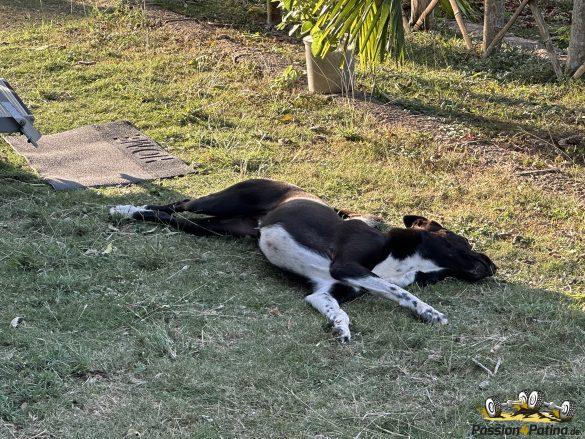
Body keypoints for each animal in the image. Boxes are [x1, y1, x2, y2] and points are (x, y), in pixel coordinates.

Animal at [110, 179, 496, 342]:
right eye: (462, 243)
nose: (493, 266)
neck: (402, 260)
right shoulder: (348, 266)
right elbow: (400, 292)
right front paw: (430, 312)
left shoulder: (323, 291)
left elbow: (339, 310)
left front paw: (341, 328)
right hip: (220, 201)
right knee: (178, 203)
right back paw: (124, 208)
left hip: (217, 229)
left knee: (173, 218)